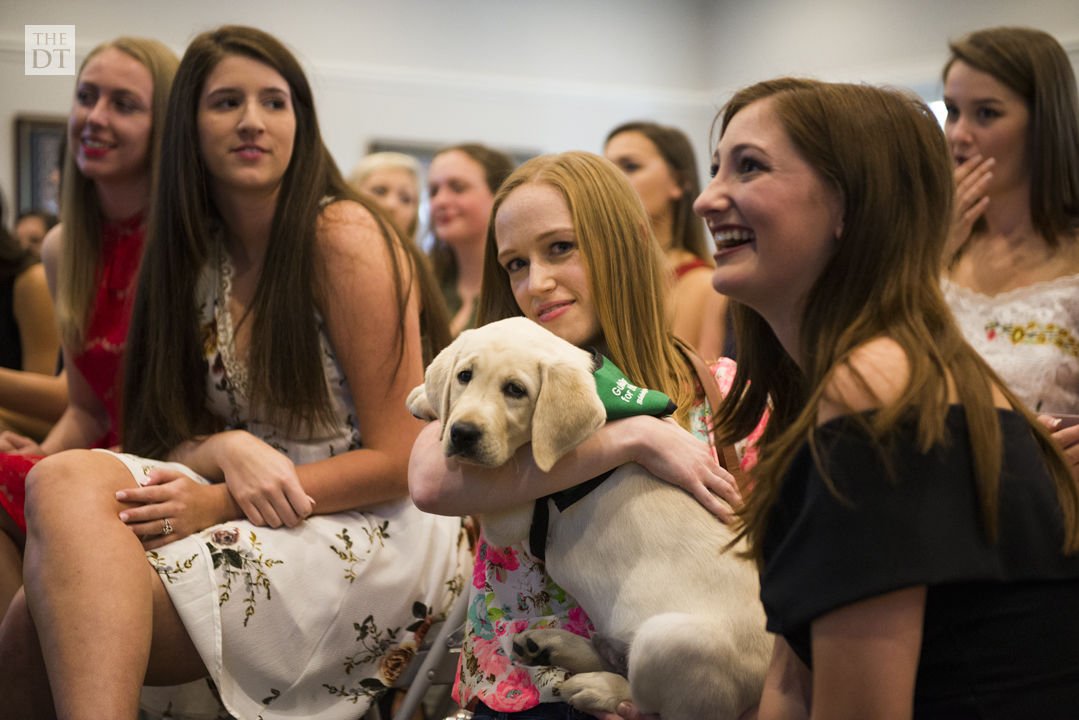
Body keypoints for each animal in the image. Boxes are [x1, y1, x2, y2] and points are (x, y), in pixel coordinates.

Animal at [407, 319, 772, 720]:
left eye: (516, 390)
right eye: (464, 376)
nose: (463, 433)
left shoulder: (512, 513)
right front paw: (424, 396)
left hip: (671, 641)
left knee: (645, 702)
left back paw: (596, 687)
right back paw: (548, 645)